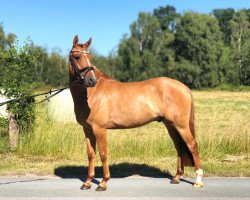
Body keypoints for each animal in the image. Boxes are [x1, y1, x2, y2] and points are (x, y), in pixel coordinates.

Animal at [68, 35, 203, 191]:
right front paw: (87, 182)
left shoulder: (99, 129)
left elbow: (103, 154)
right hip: (171, 125)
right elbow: (91, 154)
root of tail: (184, 87)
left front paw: (103, 182)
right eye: (77, 56)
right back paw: (176, 177)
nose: (91, 80)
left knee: (192, 145)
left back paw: (198, 180)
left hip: (181, 126)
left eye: (90, 57)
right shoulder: (88, 129)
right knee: (179, 147)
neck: (92, 94)